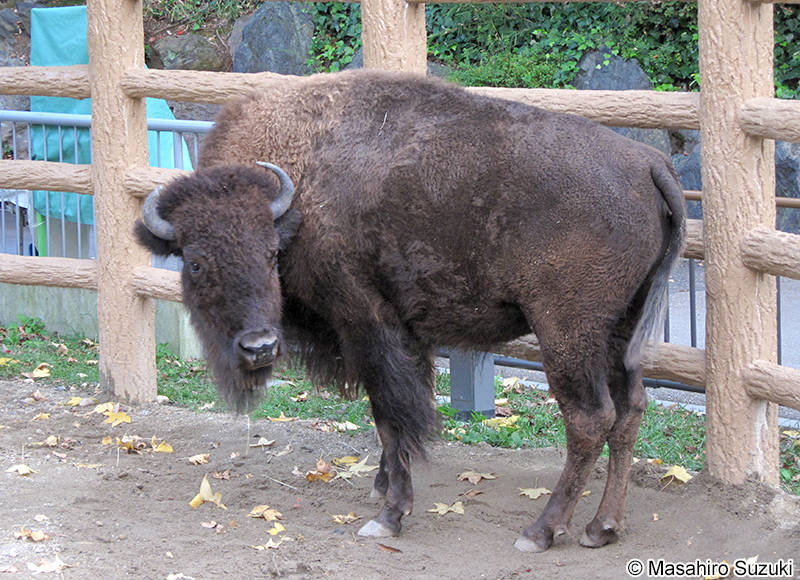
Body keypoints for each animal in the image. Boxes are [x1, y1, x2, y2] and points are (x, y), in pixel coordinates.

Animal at [135, 69, 686, 552]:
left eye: (271, 253)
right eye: (196, 262)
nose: (260, 347)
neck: (300, 193)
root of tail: (647, 161)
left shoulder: (367, 323)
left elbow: (390, 413)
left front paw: (389, 515)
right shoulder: (401, 334)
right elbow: (394, 413)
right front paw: (380, 487)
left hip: (567, 331)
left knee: (590, 418)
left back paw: (541, 532)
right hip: (619, 330)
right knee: (630, 410)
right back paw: (603, 527)